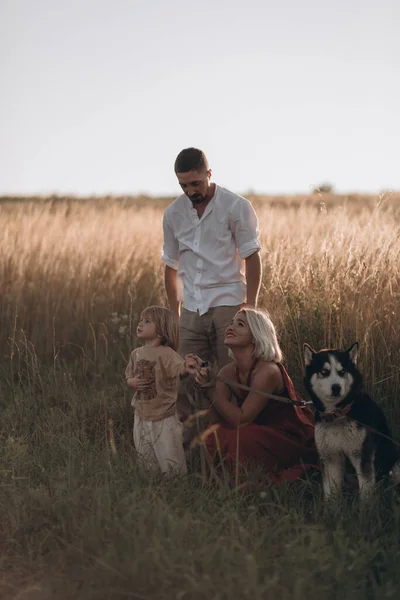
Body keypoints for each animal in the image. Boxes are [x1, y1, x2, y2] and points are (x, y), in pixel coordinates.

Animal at [304, 342, 400, 502]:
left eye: (342, 371)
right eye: (324, 372)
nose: (336, 387)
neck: (337, 415)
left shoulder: (362, 455)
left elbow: (366, 494)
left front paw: (365, 509)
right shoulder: (330, 457)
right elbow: (331, 493)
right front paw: (331, 508)